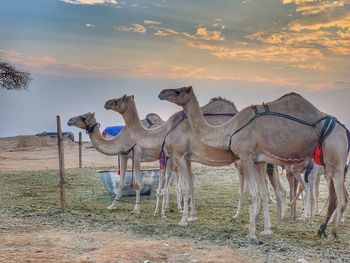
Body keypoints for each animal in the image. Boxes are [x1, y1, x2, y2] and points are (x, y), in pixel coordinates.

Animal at [102, 96, 286, 228]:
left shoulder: (165, 155)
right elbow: (187, 185)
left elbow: (177, 186)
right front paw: (189, 215)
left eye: (119, 100)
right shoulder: (183, 157)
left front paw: (175, 217)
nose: (106, 103)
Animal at [159, 86, 350, 241]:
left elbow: (253, 194)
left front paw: (251, 233)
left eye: (179, 91)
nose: (161, 93)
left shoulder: (246, 157)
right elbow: (263, 194)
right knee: (334, 196)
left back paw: (332, 235)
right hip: (327, 163)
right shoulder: (259, 161)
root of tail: (344, 129)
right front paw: (266, 230)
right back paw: (320, 230)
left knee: (342, 198)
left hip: (336, 155)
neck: (229, 130)